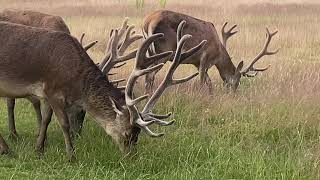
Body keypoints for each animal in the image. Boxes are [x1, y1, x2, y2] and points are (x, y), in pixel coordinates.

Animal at [142, 9, 278, 93]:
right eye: (236, 81)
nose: (233, 95)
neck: (218, 54)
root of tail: (148, 22)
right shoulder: (205, 58)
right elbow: (202, 82)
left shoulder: (197, 63)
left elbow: (209, 82)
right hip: (163, 50)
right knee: (150, 75)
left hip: (150, 52)